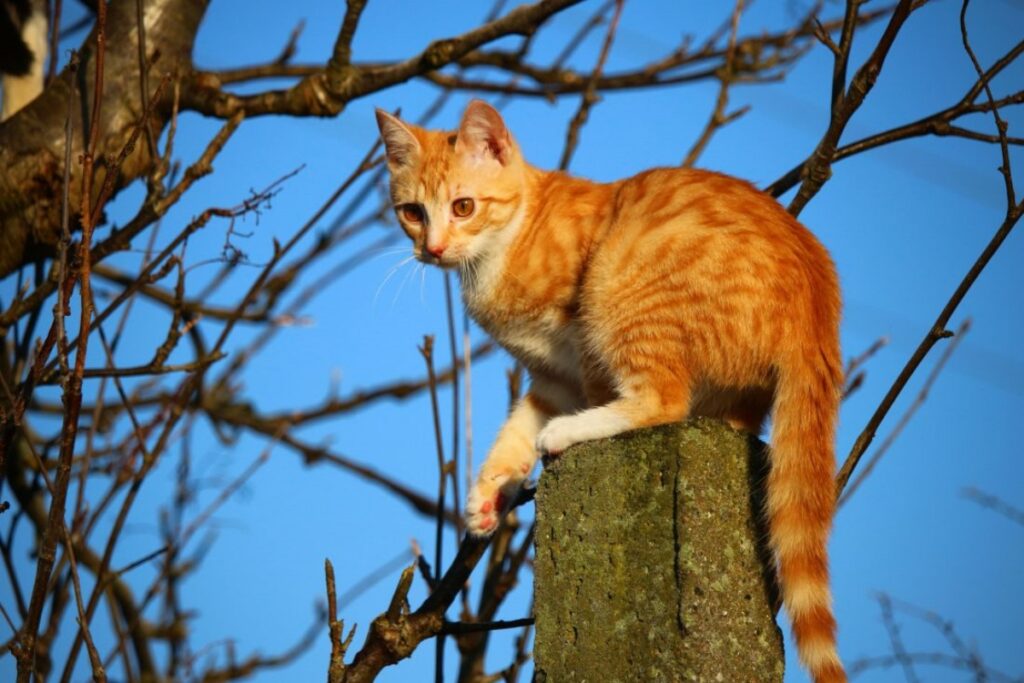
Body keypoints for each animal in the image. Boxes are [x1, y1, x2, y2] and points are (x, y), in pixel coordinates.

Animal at [376, 98, 847, 679]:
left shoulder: (584, 353)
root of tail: (818, 305)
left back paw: (573, 432)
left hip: (620, 288)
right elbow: (518, 426)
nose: (434, 248)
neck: (506, 245)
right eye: (413, 212)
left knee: (664, 399)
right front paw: (492, 492)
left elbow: (587, 398)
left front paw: (550, 442)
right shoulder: (553, 376)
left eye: (463, 206)